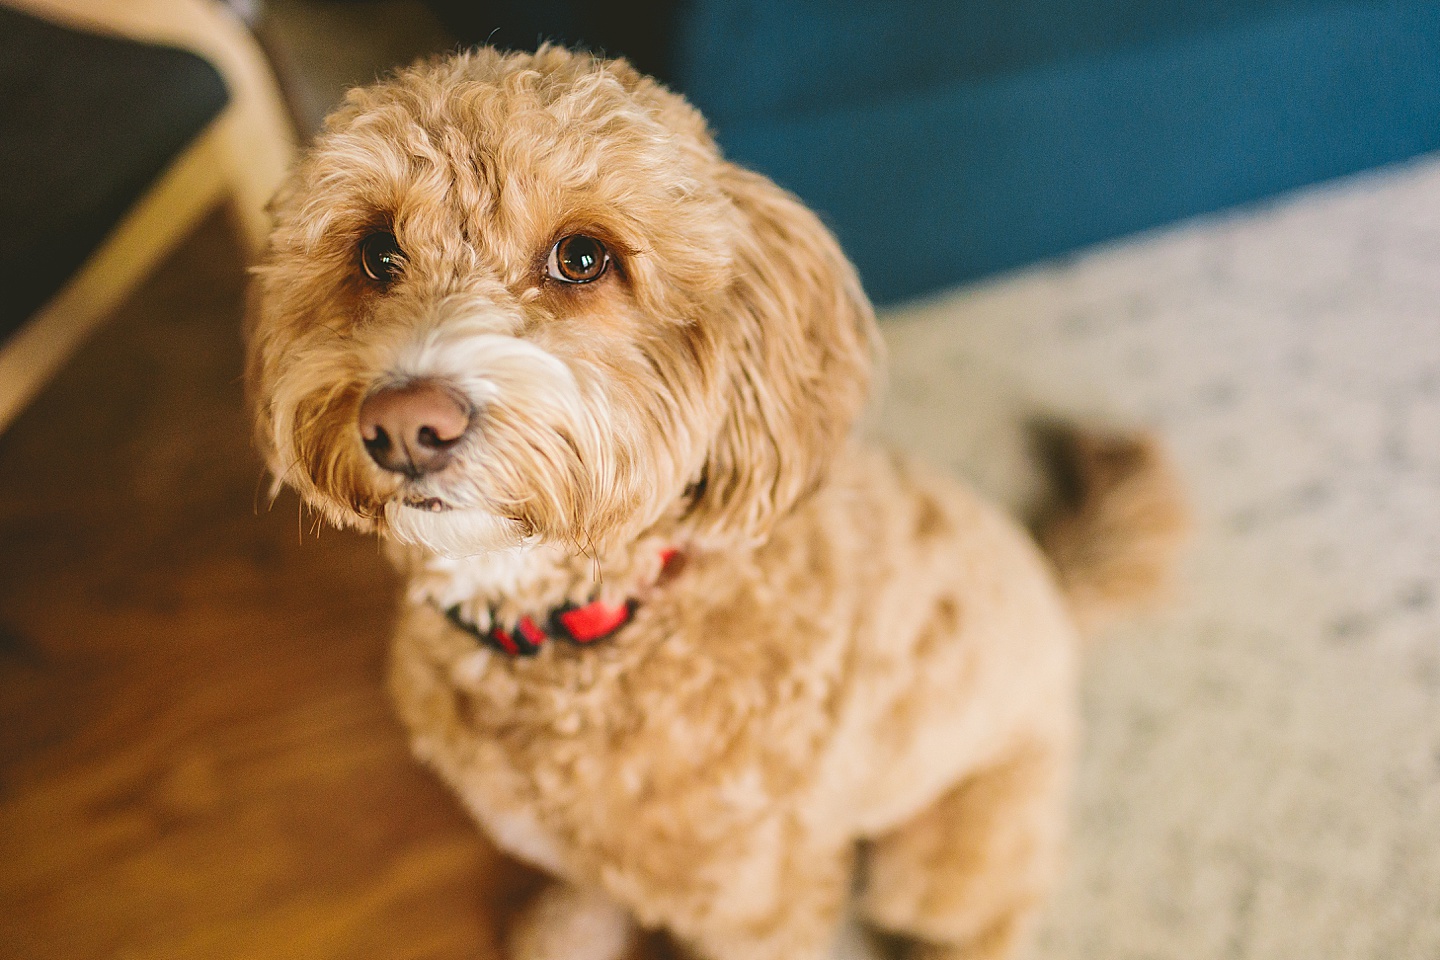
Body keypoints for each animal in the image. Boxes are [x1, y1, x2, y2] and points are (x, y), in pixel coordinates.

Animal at [247, 46, 1186, 960]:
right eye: (377, 253)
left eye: (582, 257)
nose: (406, 426)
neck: (595, 625)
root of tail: (1056, 591)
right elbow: (592, 885)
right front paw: (567, 933)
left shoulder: (758, 912)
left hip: (946, 851)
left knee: (992, 917)